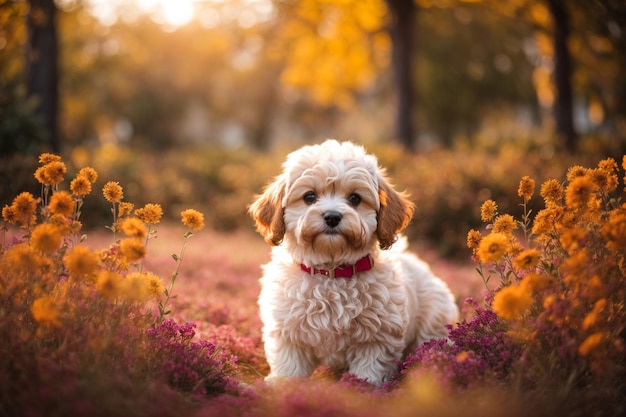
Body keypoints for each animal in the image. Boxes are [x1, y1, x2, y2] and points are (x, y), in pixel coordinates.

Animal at [249, 139, 458, 384]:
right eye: (309, 197)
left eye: (355, 198)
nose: (332, 216)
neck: (332, 272)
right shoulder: (287, 332)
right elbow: (290, 365)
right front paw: (282, 385)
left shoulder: (378, 336)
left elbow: (369, 368)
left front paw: (359, 388)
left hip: (434, 318)